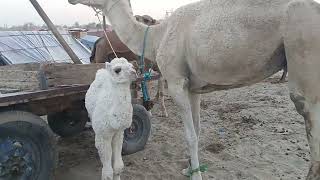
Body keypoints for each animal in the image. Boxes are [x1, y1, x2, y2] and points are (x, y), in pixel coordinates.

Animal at [70, 0, 320, 179]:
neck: (157, 36)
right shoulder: (193, 89)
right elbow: (197, 131)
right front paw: (190, 168)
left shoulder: (176, 82)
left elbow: (190, 135)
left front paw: (196, 175)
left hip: (303, 49)